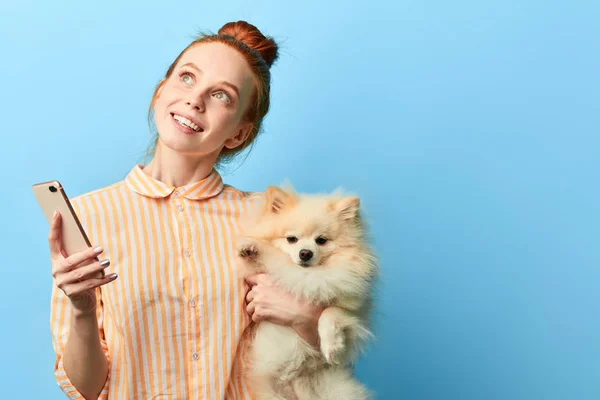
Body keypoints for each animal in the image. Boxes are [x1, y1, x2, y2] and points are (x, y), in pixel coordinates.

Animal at [236, 186, 380, 400]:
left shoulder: (355, 313)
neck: (309, 275)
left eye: (321, 240)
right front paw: (251, 248)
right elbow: (269, 257)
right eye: (291, 239)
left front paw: (332, 346)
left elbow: (329, 313)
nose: (305, 253)